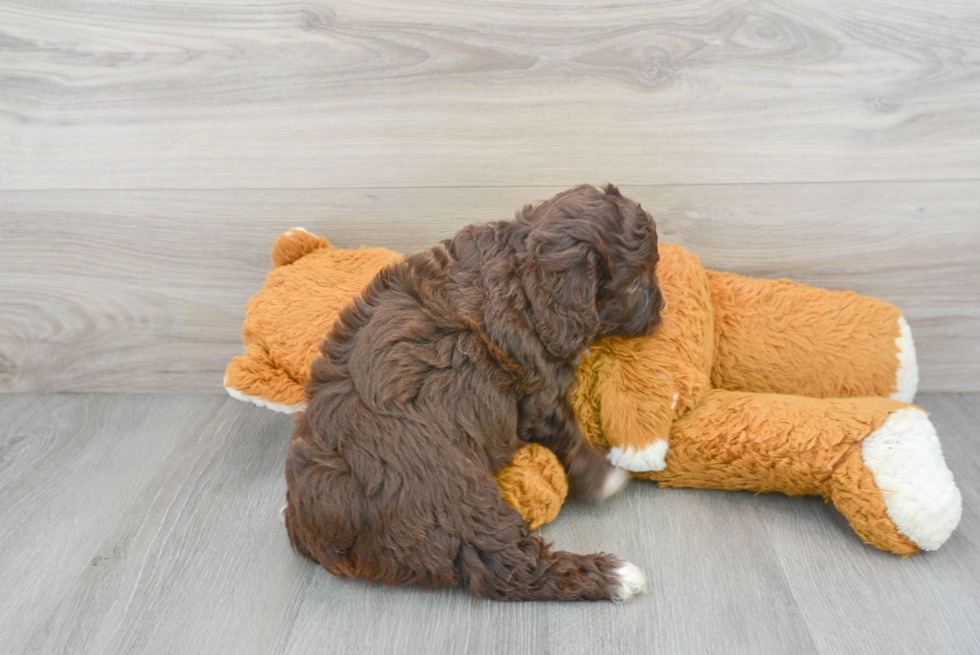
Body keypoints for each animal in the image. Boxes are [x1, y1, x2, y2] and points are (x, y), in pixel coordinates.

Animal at [284, 182, 668, 604]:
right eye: (636, 284)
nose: (663, 309)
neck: (522, 276)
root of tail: (317, 532)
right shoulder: (539, 390)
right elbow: (569, 435)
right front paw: (605, 477)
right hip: (456, 497)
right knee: (509, 567)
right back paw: (617, 576)